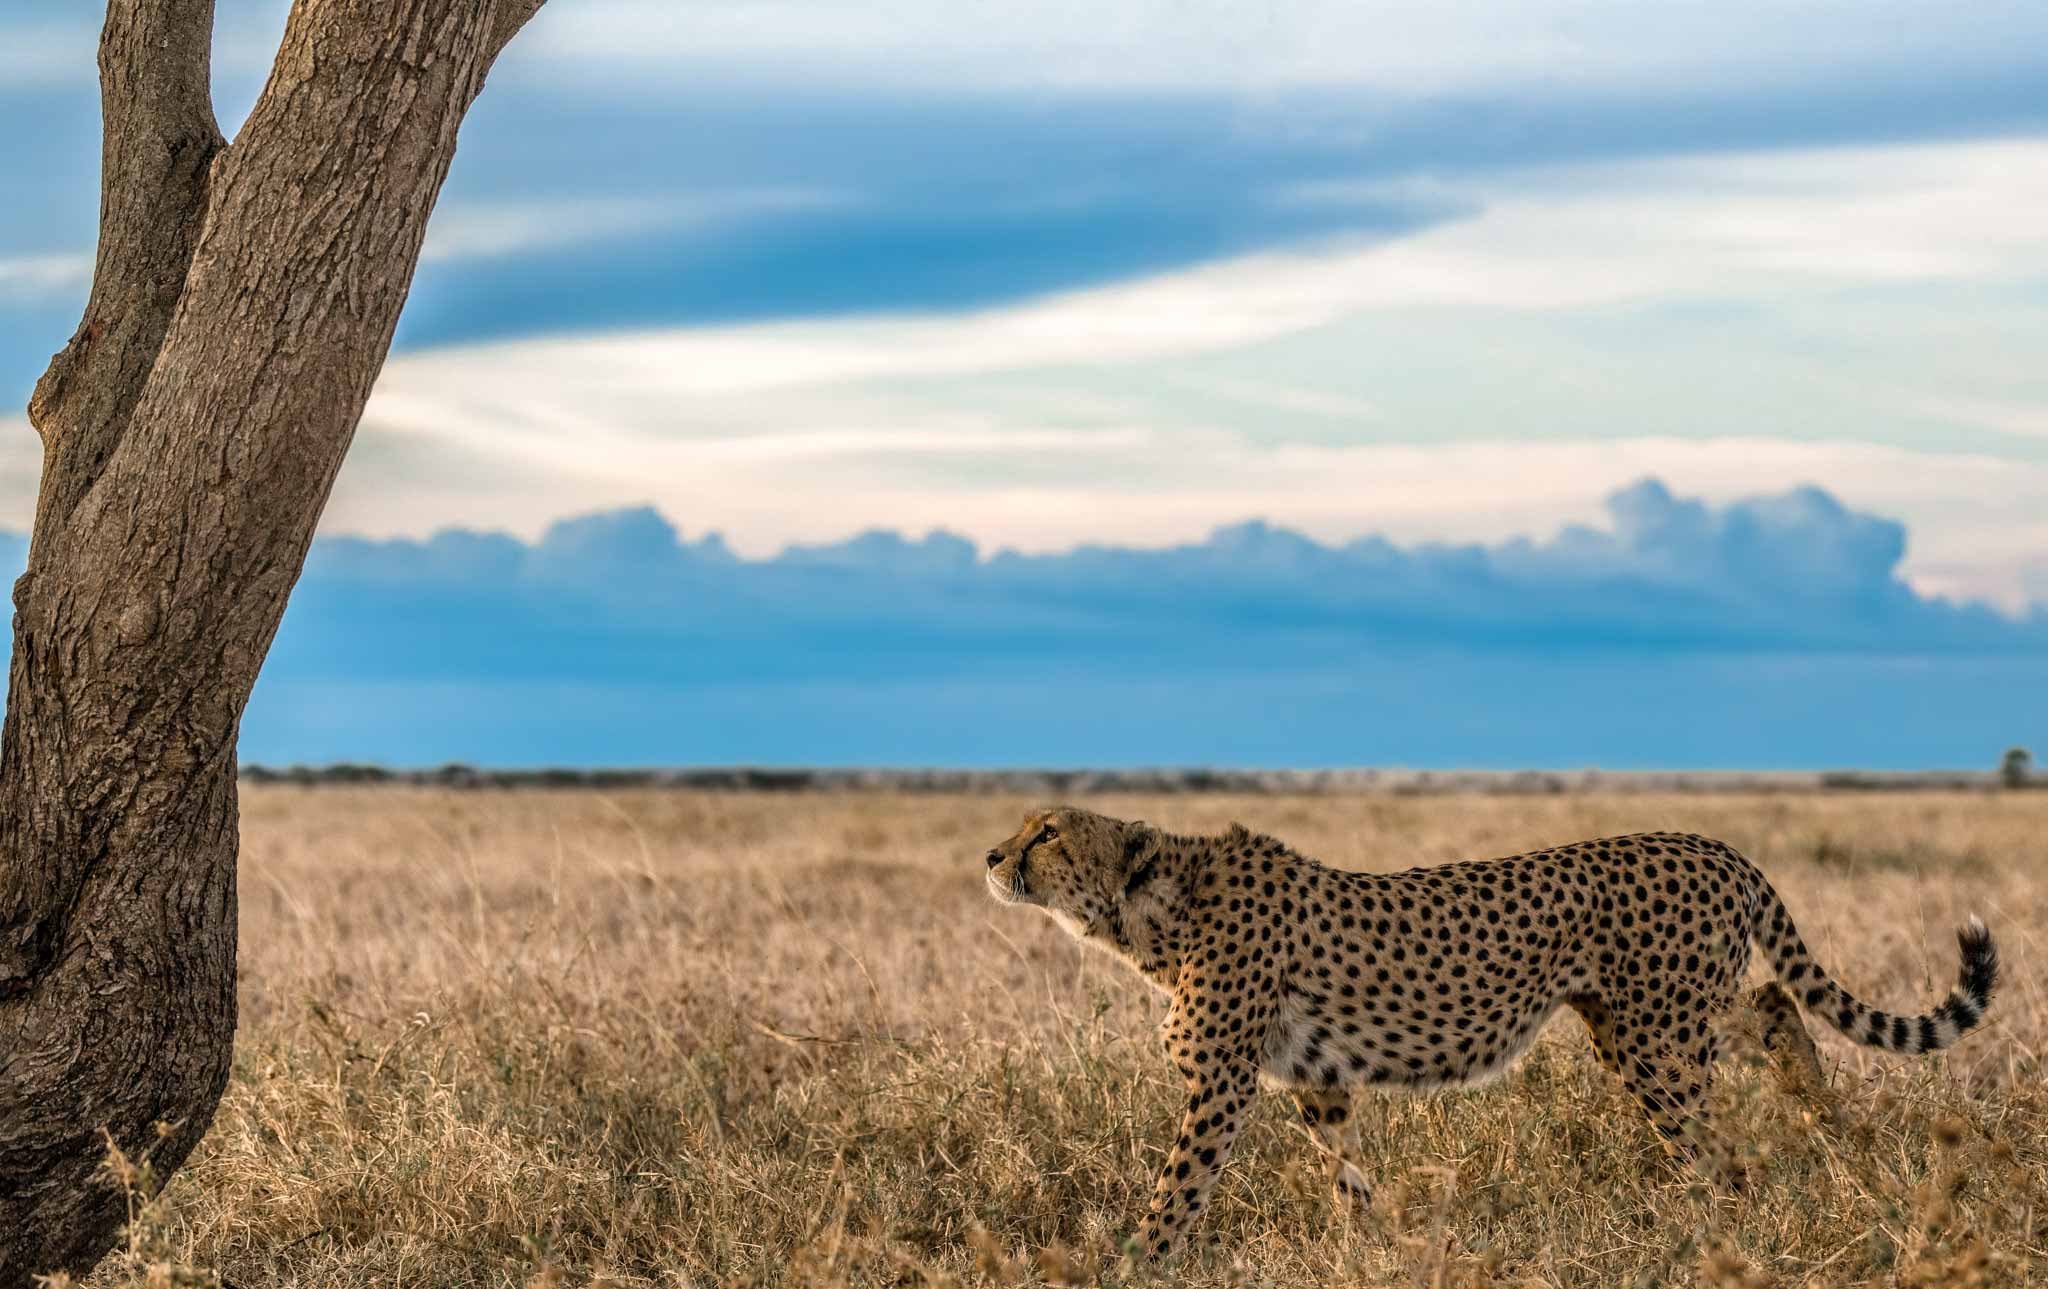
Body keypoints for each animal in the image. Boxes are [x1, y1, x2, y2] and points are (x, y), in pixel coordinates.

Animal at [978, 803, 1998, 1254]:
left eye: (1049, 830)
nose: (990, 853)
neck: (1150, 909)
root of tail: (1712, 843)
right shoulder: (1315, 1075)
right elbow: (1345, 1167)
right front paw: (1374, 1242)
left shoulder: (1222, 1081)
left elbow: (1178, 1187)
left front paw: (1132, 1259)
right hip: (1642, 1018)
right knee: (1776, 1009)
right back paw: (1830, 1128)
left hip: (1656, 1035)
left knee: (1717, 1142)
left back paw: (1716, 1225)